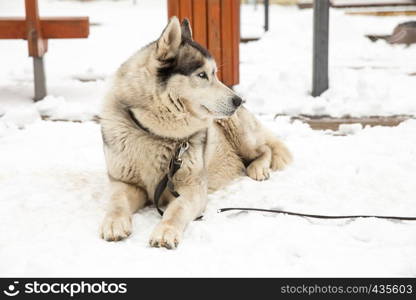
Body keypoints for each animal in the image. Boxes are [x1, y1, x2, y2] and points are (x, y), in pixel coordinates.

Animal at [99, 17, 290, 250]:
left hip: (239, 132)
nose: (239, 100)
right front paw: (114, 223)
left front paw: (165, 231)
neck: (156, 133)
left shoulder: (192, 189)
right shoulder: (125, 183)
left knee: (265, 149)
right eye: (202, 75)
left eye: (215, 73)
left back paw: (258, 168)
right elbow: (117, 202)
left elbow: (176, 210)